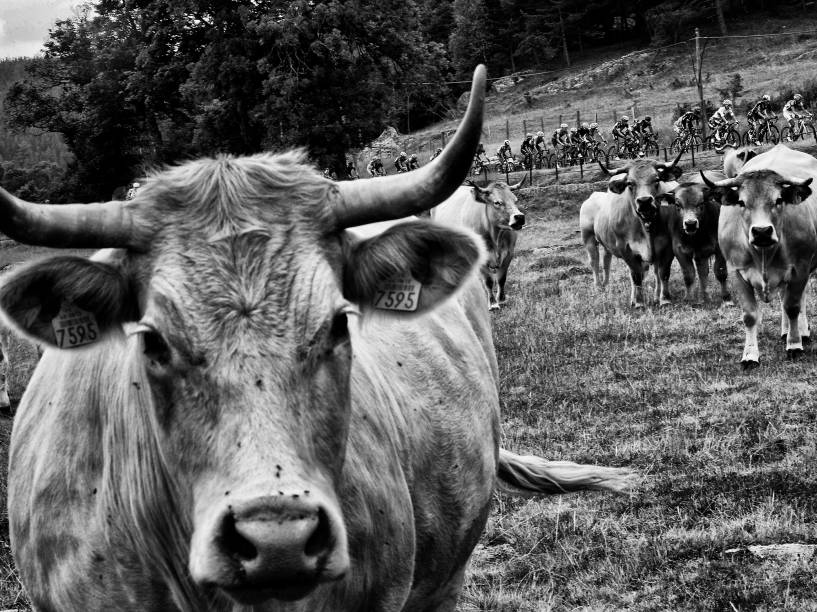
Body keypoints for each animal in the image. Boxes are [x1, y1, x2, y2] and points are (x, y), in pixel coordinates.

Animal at [430, 177, 524, 310]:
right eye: (497, 202)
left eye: (515, 200)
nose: (520, 217)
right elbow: (488, 281)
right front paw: (493, 303)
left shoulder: (509, 253)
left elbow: (501, 279)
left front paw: (502, 300)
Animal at [576, 153, 684, 306]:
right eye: (630, 184)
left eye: (656, 179)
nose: (644, 201)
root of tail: (593, 196)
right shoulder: (625, 248)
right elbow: (636, 276)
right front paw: (638, 302)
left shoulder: (667, 246)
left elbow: (663, 273)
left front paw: (664, 299)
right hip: (588, 238)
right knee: (594, 262)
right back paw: (598, 287)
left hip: (606, 243)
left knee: (606, 261)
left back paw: (607, 285)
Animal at [700, 143, 816, 368]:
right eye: (741, 202)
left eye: (778, 199)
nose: (762, 231)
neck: (763, 253)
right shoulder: (736, 272)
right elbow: (750, 316)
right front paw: (750, 355)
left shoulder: (800, 267)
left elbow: (793, 306)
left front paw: (794, 345)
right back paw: (785, 330)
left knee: (798, 298)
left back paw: (800, 333)